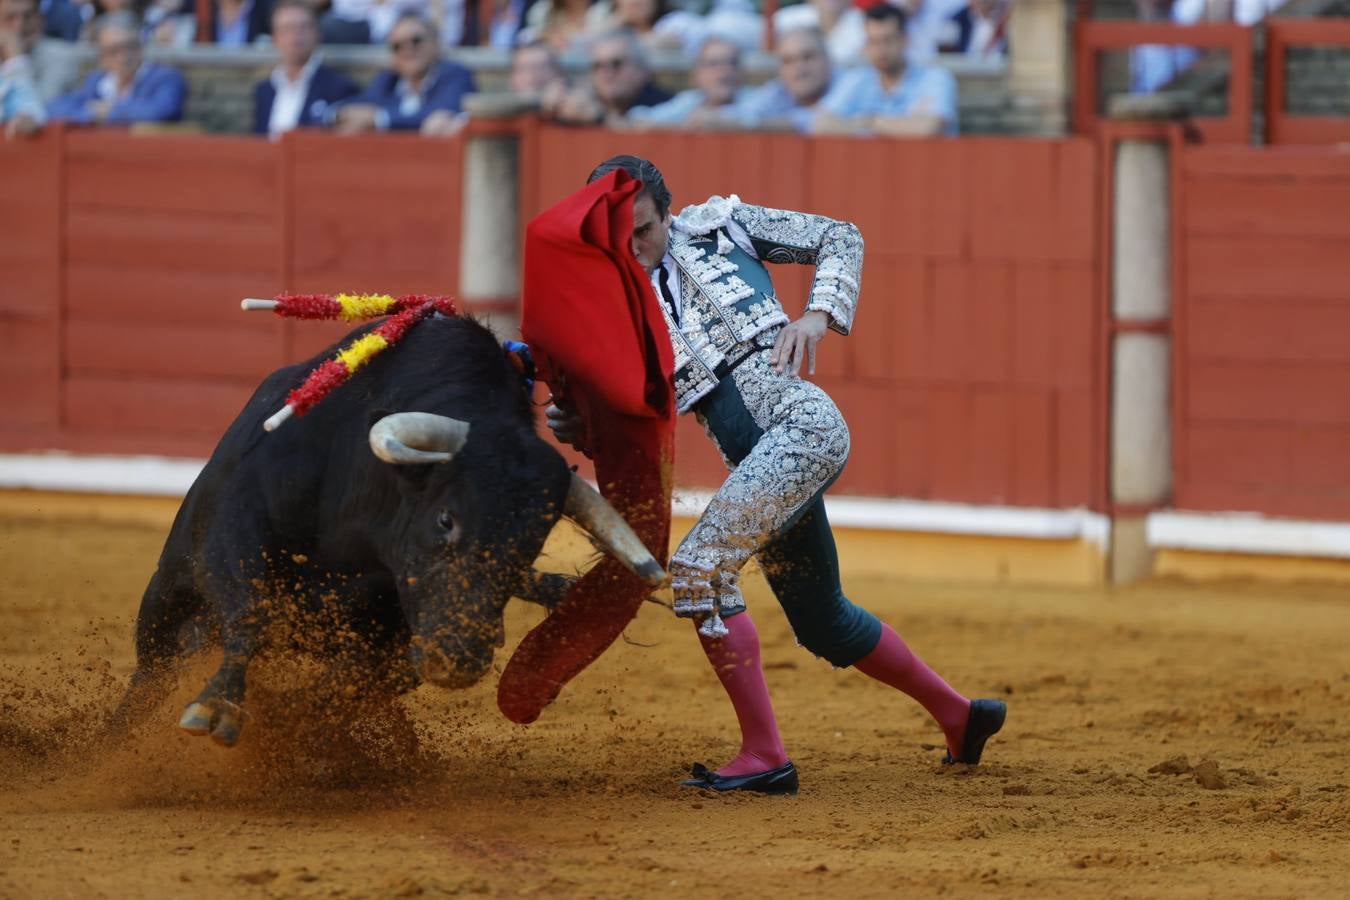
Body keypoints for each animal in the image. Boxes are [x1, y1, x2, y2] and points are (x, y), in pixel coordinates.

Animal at [121, 317, 664, 744]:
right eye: (445, 518)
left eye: (533, 542)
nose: (458, 656)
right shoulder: (235, 531)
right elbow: (250, 612)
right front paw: (216, 707)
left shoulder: (399, 642)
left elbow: (338, 689)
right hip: (163, 608)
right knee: (150, 679)